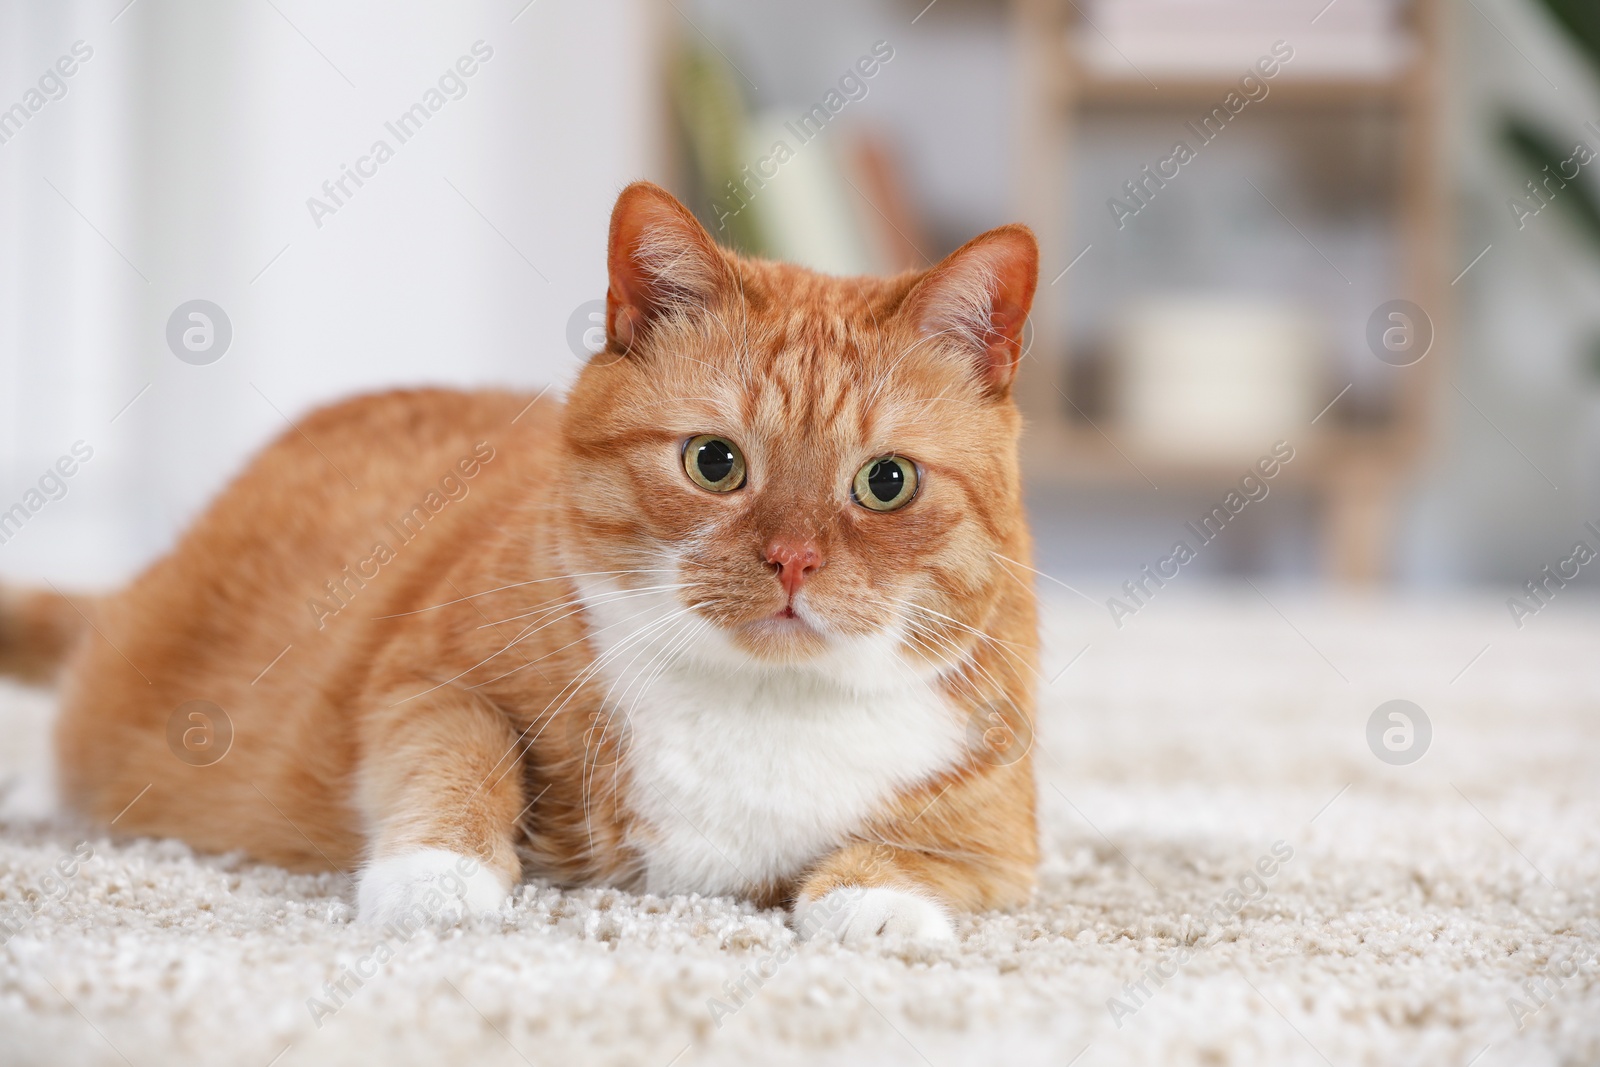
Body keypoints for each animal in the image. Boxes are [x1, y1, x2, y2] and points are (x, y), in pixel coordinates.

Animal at [0, 183, 1043, 940]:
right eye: (715, 462)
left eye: (887, 481)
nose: (793, 560)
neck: (759, 710)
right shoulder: (420, 675)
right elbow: (467, 751)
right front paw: (438, 873)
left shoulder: (1005, 821)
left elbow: (939, 850)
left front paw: (880, 895)